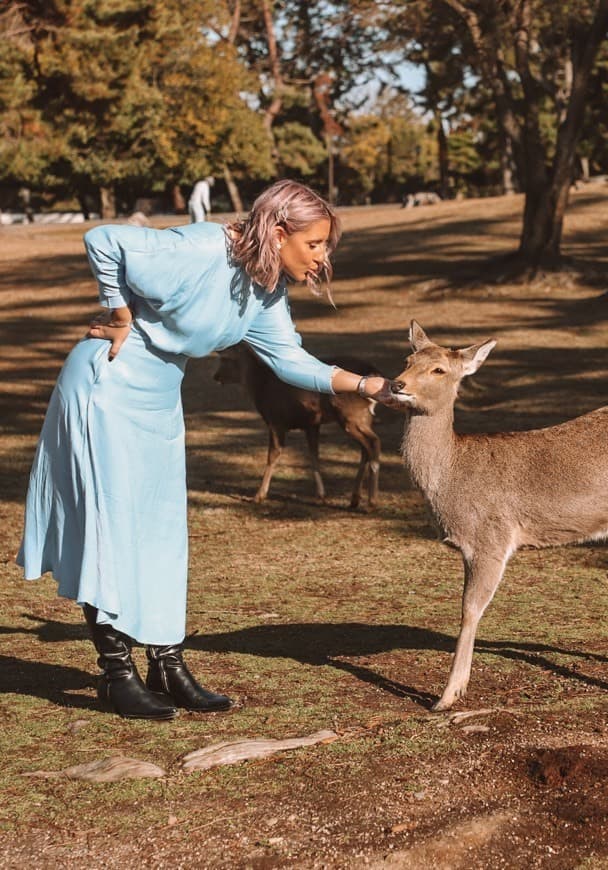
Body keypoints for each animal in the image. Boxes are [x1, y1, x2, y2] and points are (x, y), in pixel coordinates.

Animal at [215, 344, 380, 510]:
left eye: (225, 358)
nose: (215, 376)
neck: (260, 387)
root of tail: (373, 372)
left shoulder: (276, 420)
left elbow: (273, 455)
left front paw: (258, 496)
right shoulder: (311, 424)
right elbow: (314, 455)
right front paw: (321, 496)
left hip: (350, 416)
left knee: (373, 442)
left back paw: (371, 501)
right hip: (364, 417)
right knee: (366, 449)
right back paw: (355, 499)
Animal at [390, 324, 608, 712]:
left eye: (439, 370)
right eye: (407, 359)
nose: (396, 384)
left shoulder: (490, 538)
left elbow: (470, 610)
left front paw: (446, 697)